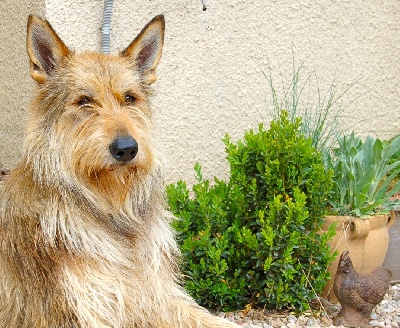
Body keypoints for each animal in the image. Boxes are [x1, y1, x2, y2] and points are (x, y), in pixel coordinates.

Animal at [0, 15, 238, 328]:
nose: (126, 148)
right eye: (84, 101)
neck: (111, 210)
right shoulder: (83, 310)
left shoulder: (158, 297)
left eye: (129, 98)